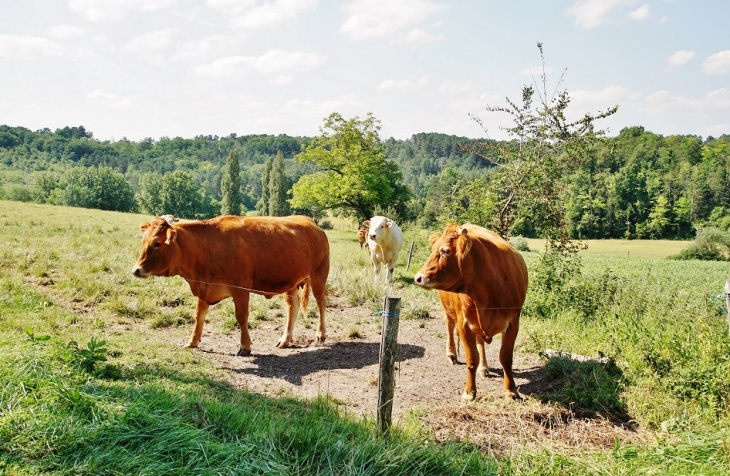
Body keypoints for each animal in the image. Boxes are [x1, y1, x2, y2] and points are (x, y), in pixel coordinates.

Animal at [132, 214, 328, 356]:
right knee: (292, 307)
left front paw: (245, 346)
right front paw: (192, 342)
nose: (136, 270)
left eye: (157, 243)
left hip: (318, 275)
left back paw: (320, 335)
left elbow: (241, 317)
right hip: (291, 282)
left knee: (321, 303)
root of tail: (310, 221)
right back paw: (285, 340)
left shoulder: (240, 288)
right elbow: (199, 316)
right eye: (143, 241)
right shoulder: (205, 286)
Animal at [412, 225, 528, 400]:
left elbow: (505, 358)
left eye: (445, 250)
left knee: (480, 342)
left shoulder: (513, 323)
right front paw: (469, 392)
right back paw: (451, 354)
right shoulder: (464, 324)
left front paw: (511, 391)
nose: (418, 278)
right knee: (449, 327)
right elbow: (472, 359)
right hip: (449, 310)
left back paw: (484, 368)